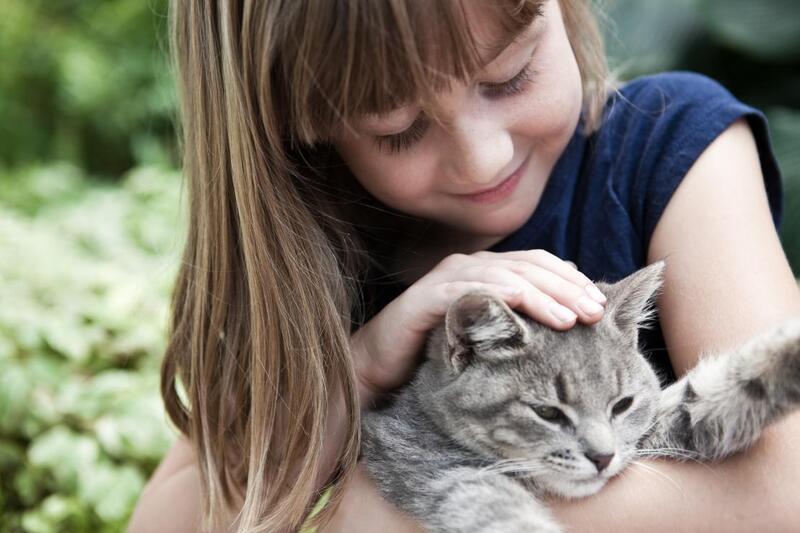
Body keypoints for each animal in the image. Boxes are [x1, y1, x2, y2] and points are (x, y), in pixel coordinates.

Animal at [362, 262, 800, 532]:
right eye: (547, 413)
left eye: (622, 405)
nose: (603, 458)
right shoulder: (441, 473)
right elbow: (504, 517)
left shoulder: (647, 434)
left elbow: (714, 392)